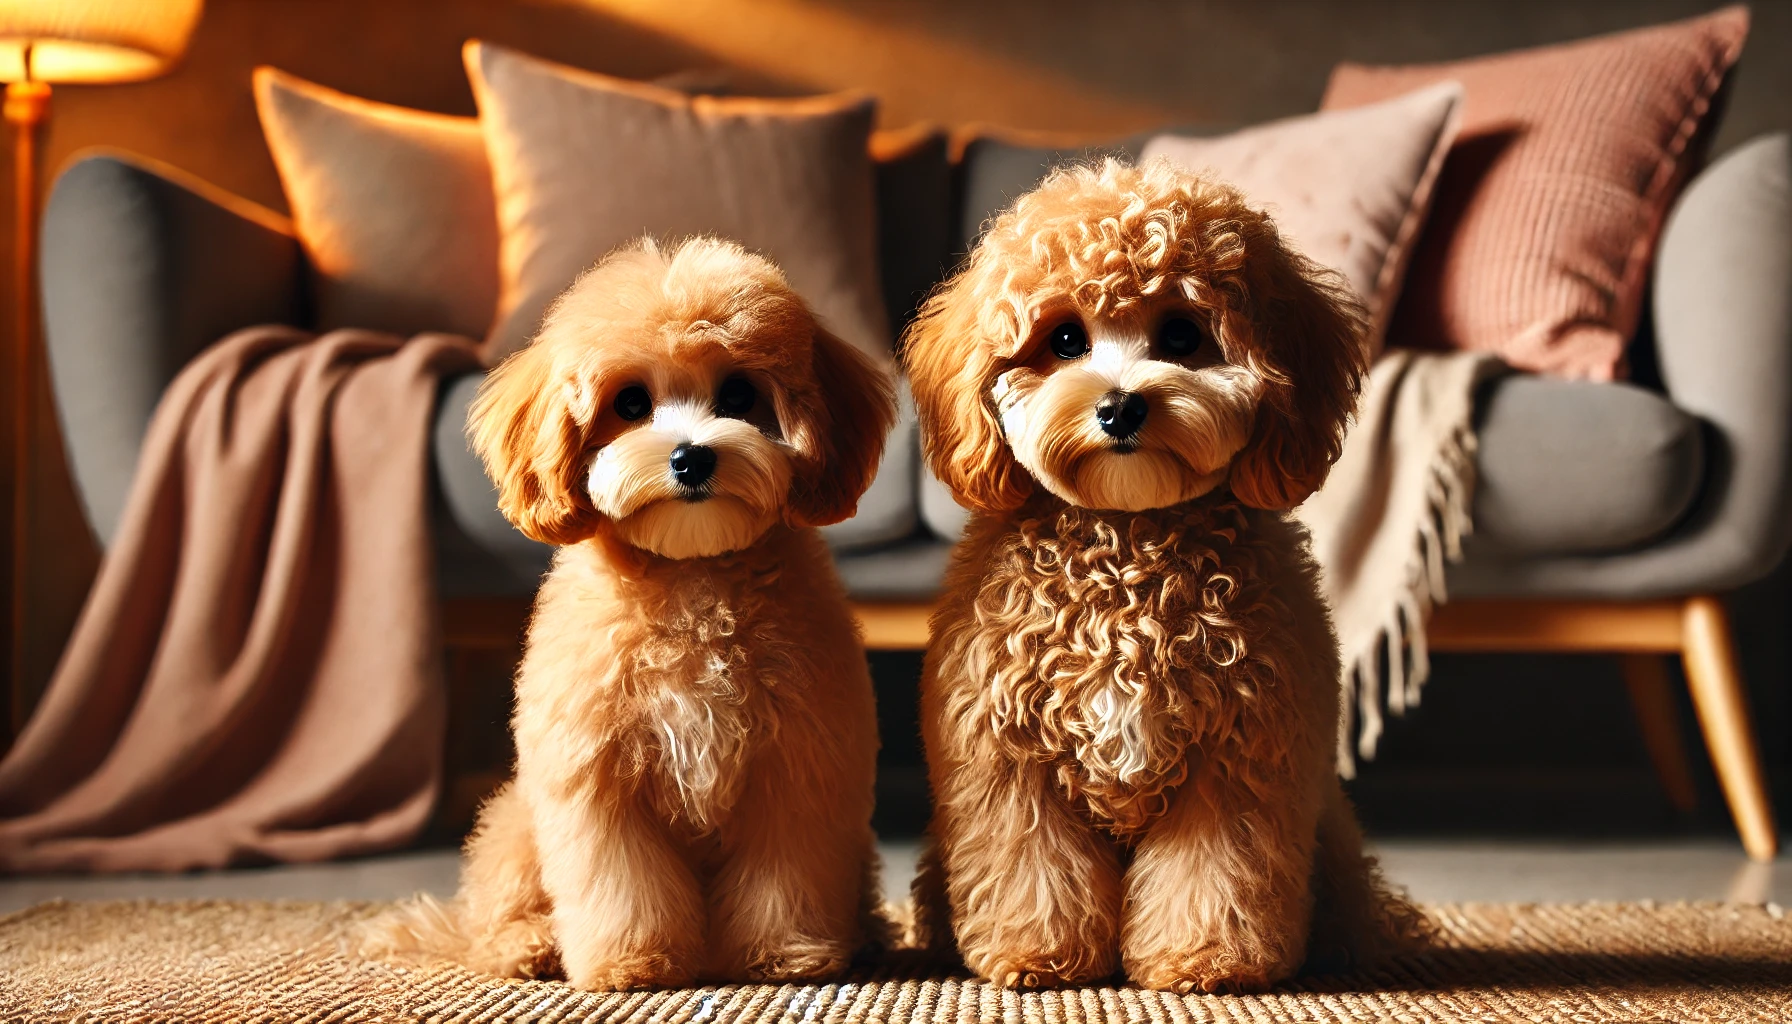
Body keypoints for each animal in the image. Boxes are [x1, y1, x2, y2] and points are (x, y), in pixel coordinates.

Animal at [910, 160, 1426, 997]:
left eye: (1183, 335)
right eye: (1064, 339)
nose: (1121, 408)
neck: (1129, 543)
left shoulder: (1239, 759)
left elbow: (1215, 873)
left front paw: (1206, 959)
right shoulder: (1008, 766)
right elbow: (1032, 870)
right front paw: (1039, 956)